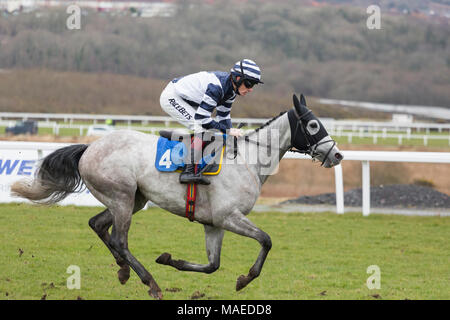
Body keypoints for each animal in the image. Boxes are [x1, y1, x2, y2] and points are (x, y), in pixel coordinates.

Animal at [11, 94, 342, 298]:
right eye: (313, 124)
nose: (337, 154)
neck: (248, 160)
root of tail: (90, 147)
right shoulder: (229, 217)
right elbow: (266, 240)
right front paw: (244, 279)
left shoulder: (214, 224)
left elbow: (212, 265)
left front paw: (171, 259)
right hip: (121, 196)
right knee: (120, 239)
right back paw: (150, 283)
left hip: (134, 199)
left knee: (98, 225)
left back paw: (123, 270)